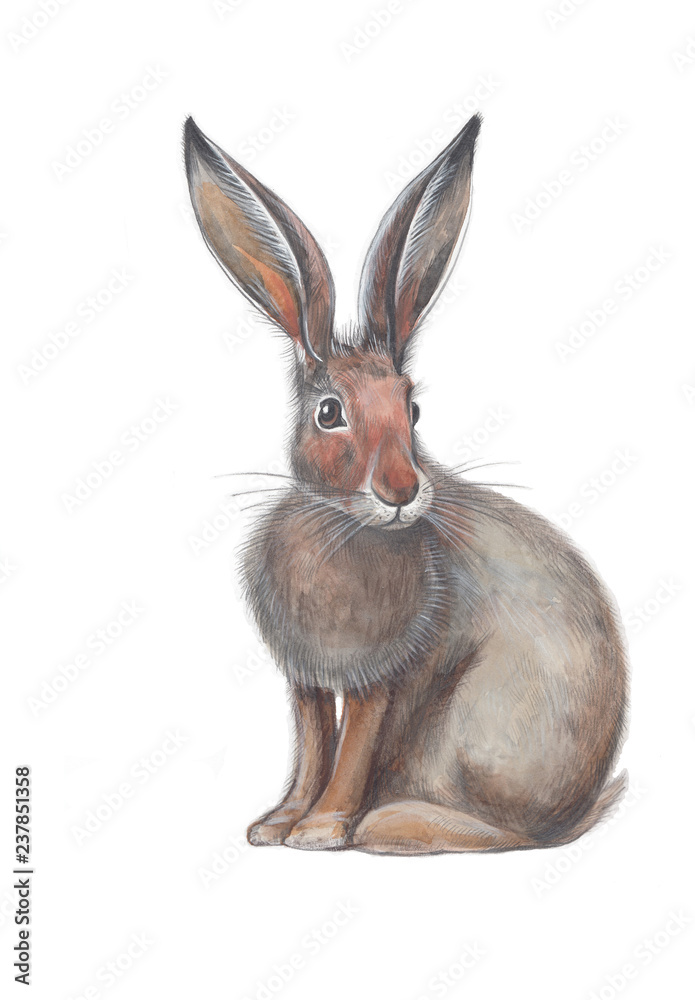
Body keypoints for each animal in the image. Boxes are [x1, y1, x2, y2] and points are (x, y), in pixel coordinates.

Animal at [184, 113, 628, 855]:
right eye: (329, 413)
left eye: (412, 409)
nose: (400, 491)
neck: (339, 526)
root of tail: (573, 812)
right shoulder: (306, 679)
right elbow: (313, 745)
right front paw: (275, 824)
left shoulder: (381, 676)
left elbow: (351, 749)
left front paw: (320, 830)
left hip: (463, 731)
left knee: (499, 835)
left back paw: (385, 824)